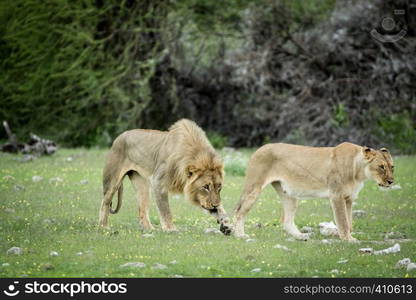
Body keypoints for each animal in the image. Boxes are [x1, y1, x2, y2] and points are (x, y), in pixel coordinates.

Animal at [99, 118, 232, 234]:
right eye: (205, 187)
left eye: (219, 187)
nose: (215, 205)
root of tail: (120, 136)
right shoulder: (158, 181)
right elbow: (165, 209)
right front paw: (170, 229)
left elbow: (220, 209)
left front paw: (226, 223)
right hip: (113, 181)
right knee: (105, 203)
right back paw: (103, 227)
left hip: (142, 185)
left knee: (142, 211)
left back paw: (150, 229)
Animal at [234, 142, 394, 243]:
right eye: (381, 167)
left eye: (392, 167)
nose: (391, 181)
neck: (358, 171)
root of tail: (259, 148)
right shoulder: (336, 196)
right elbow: (343, 221)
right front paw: (349, 240)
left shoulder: (349, 198)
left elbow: (349, 222)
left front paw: (346, 236)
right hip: (254, 187)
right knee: (239, 211)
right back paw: (240, 235)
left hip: (289, 195)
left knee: (286, 221)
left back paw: (301, 237)